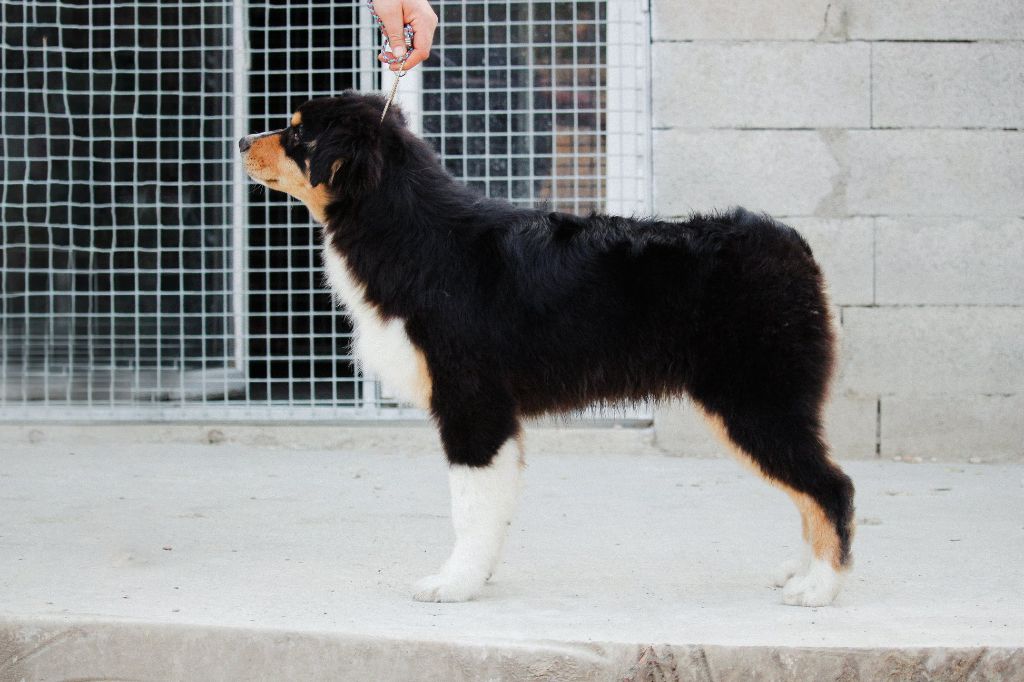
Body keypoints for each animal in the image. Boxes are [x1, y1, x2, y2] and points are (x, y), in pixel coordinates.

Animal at [240, 91, 855, 607]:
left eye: (299, 133)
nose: (243, 141)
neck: (408, 232)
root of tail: (793, 245)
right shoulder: (496, 413)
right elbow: (493, 505)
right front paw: (478, 574)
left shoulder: (472, 402)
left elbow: (469, 505)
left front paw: (453, 583)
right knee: (810, 487)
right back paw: (802, 569)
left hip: (757, 402)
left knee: (831, 485)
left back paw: (819, 586)